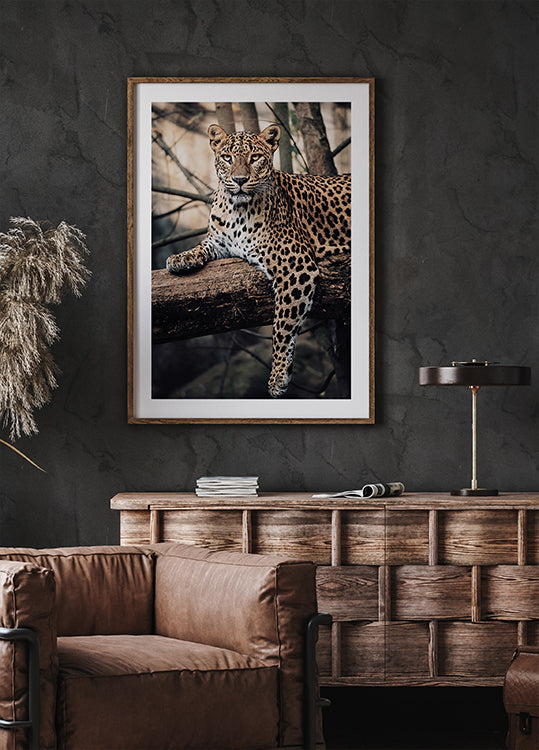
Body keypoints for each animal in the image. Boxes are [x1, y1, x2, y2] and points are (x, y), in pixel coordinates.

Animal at [166, 123, 351, 398]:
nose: (239, 180)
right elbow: (202, 245)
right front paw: (180, 258)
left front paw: (278, 376)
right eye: (227, 158)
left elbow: (282, 325)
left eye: (255, 158)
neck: (236, 210)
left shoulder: (296, 267)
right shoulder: (220, 242)